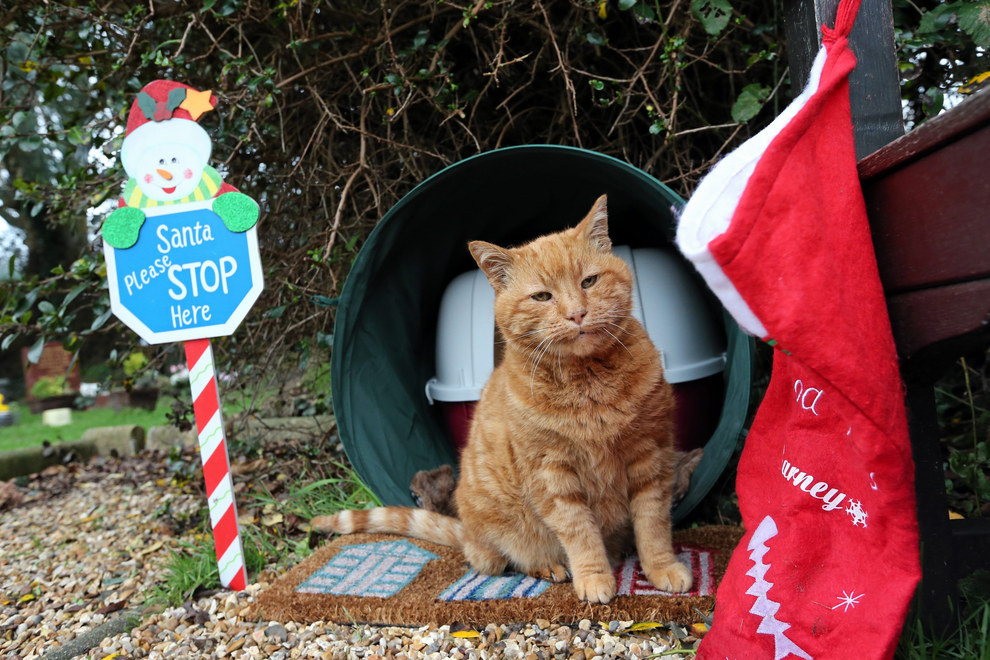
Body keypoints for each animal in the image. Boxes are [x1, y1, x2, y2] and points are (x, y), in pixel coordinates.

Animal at [314, 196, 692, 604]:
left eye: (589, 281)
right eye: (542, 296)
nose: (577, 313)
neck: (588, 383)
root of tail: (466, 533)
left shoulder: (650, 456)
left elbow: (653, 524)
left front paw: (661, 568)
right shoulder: (552, 474)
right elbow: (580, 532)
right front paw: (593, 577)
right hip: (498, 535)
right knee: (503, 560)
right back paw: (549, 566)